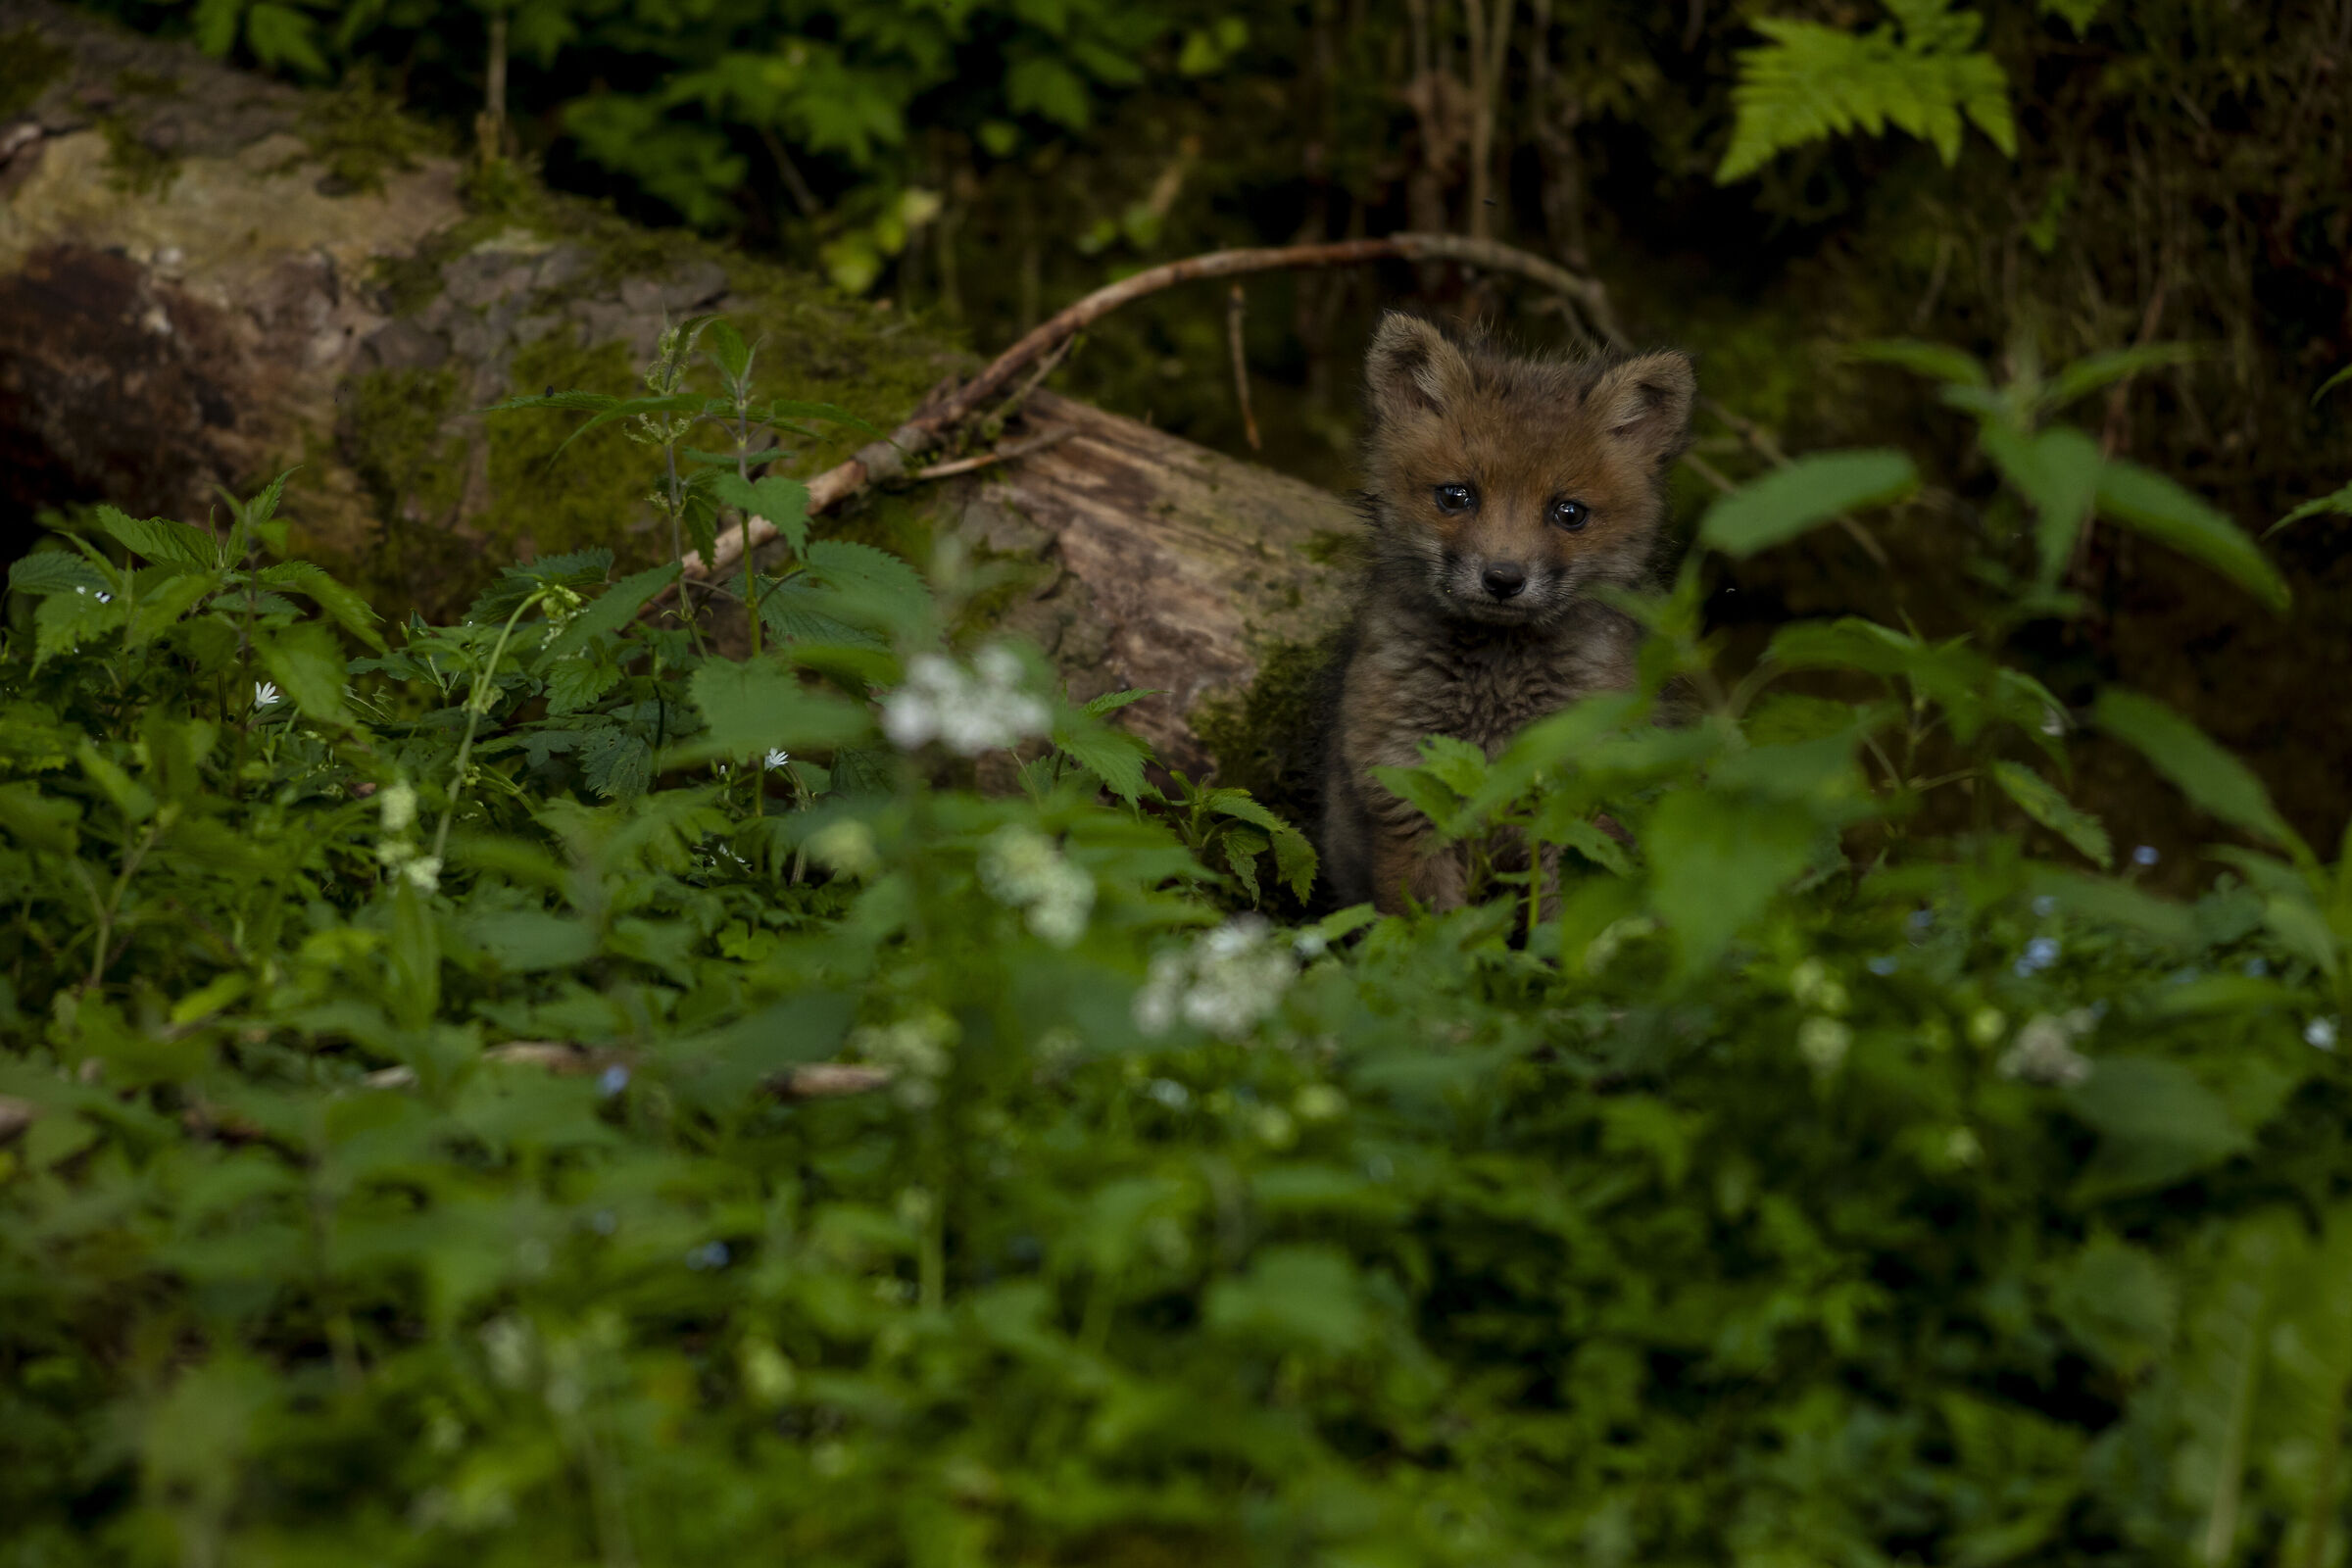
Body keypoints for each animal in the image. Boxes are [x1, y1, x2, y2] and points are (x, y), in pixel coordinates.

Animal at [1316, 311, 1695, 915]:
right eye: (1455, 497)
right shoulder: (1407, 792)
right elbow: (1434, 927)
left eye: (1569, 513)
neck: (1495, 694)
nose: (1502, 579)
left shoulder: (1580, 801)